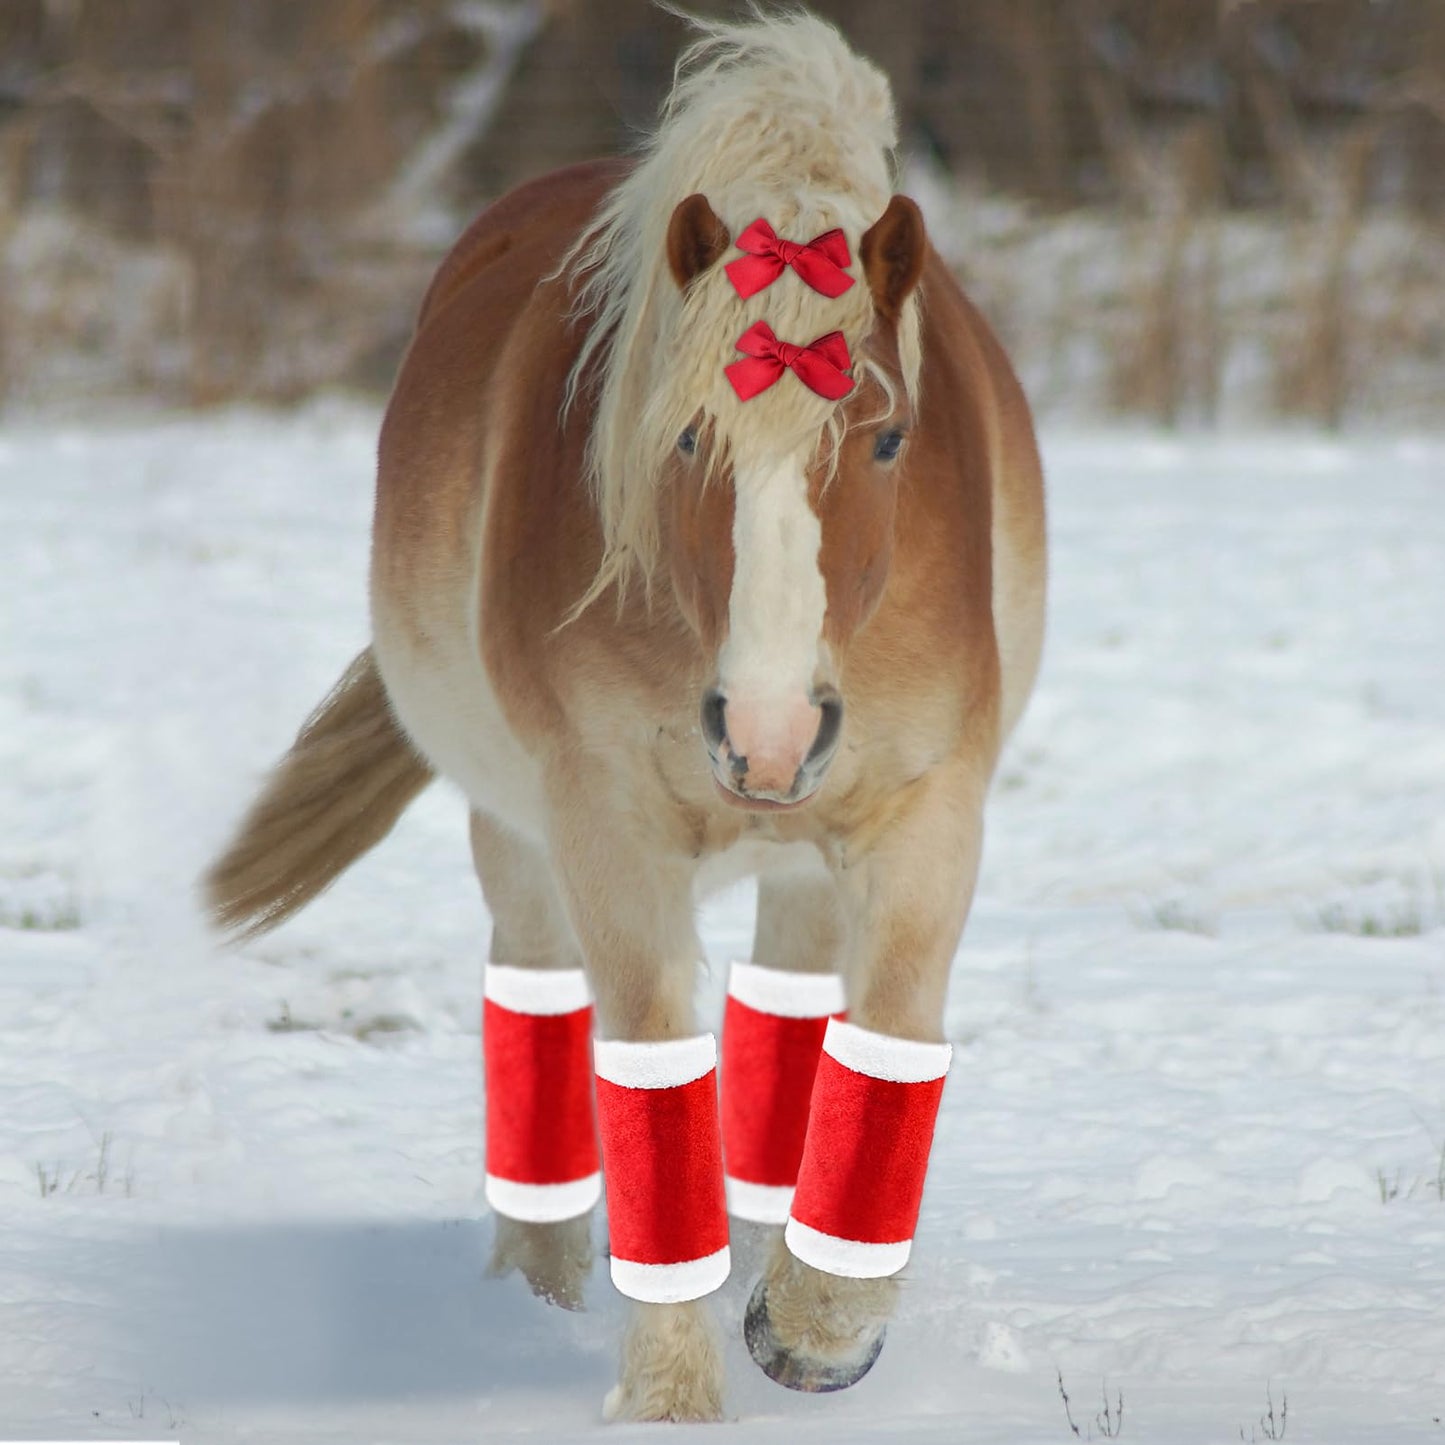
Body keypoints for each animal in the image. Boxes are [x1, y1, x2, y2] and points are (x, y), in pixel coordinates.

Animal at [205, 11, 1045, 1423]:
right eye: (690, 438)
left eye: (886, 440)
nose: (767, 729)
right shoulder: (607, 826)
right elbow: (649, 1065)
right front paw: (673, 1394)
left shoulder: (927, 808)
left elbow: (884, 1036)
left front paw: (813, 1327)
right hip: (519, 831)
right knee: (539, 1010)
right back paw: (536, 1289)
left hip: (798, 849)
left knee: (787, 1017)